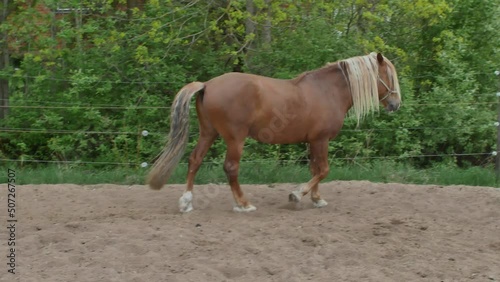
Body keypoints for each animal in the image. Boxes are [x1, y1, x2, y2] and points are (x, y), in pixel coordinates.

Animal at [147, 52, 402, 212]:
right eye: (388, 75)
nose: (396, 104)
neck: (327, 91)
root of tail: (207, 85)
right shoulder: (321, 140)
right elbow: (324, 170)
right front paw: (297, 195)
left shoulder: (312, 141)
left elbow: (315, 169)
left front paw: (316, 199)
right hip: (235, 138)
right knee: (230, 168)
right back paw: (243, 204)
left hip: (208, 133)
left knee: (194, 161)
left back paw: (186, 202)